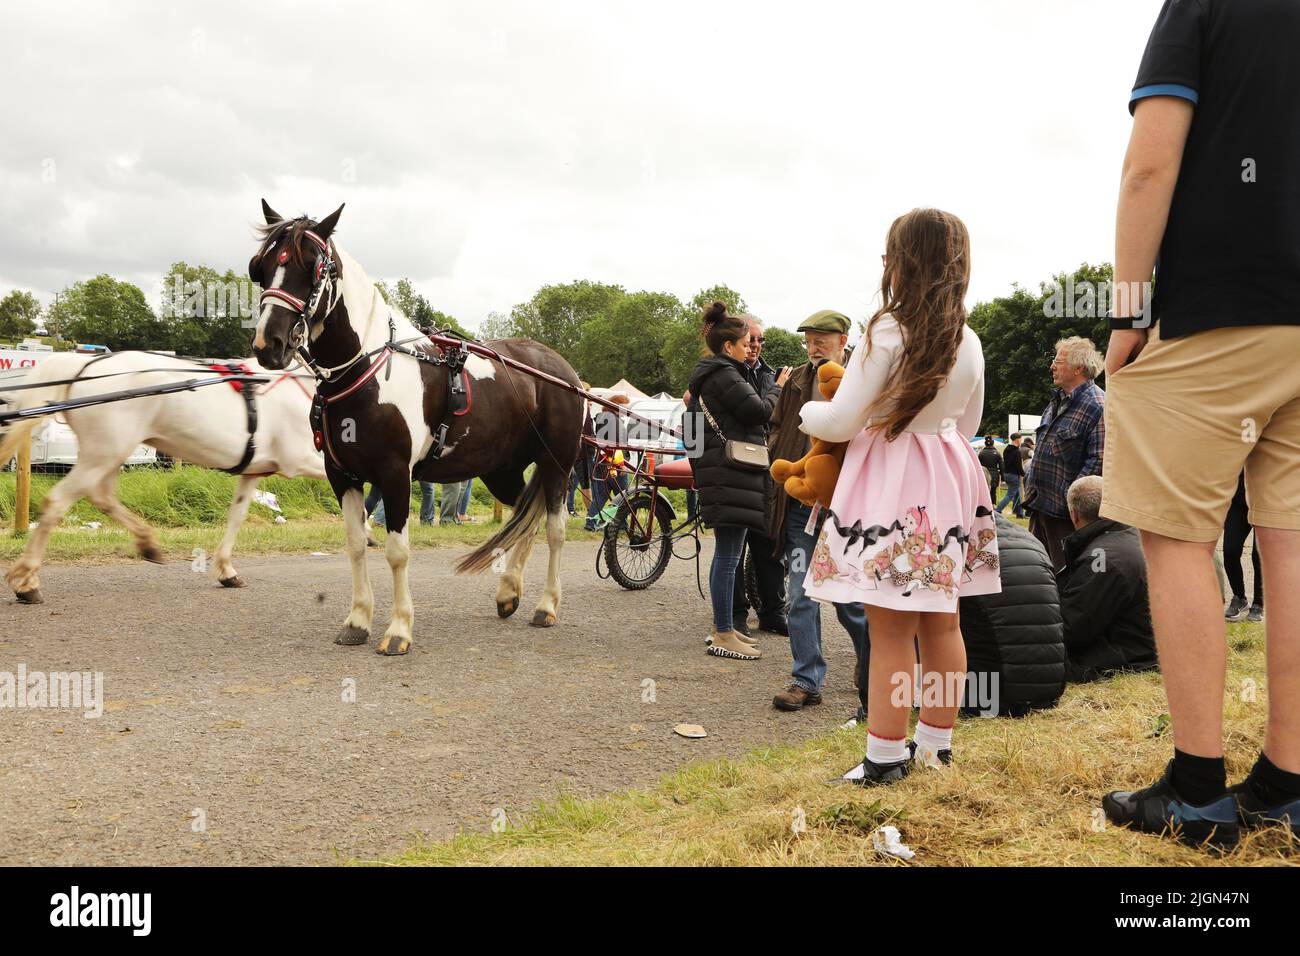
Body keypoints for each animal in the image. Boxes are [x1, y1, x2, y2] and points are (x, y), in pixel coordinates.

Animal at [0, 351, 325, 606]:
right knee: (58, 501)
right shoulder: (304, 459)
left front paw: (226, 570)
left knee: (102, 495)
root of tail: (86, 365)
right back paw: (26, 583)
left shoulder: (253, 470)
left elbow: (237, 515)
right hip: (105, 452)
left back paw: (147, 543)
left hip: (110, 453)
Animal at [249, 200, 585, 650]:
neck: (366, 370)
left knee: (553, 529)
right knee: (522, 521)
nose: (269, 344)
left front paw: (398, 629)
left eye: (312, 267)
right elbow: (356, 545)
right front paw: (357, 620)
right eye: (262, 266)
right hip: (502, 469)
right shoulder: (342, 474)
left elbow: (397, 552)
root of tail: (560, 368)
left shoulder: (394, 474)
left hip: (557, 465)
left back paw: (547, 605)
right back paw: (508, 591)